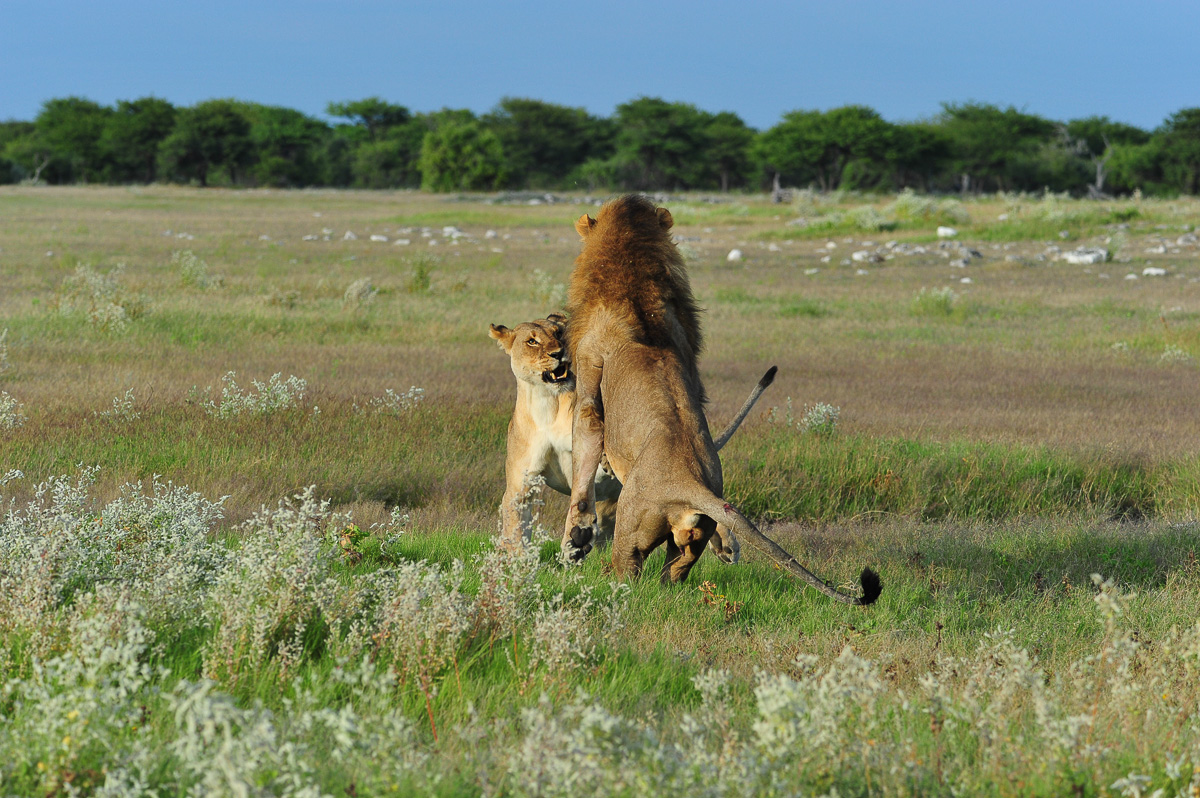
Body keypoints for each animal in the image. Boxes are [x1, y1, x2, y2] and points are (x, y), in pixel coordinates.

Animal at [489, 312, 775, 558]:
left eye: (558, 333)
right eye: (532, 341)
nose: (558, 353)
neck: (548, 405)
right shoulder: (520, 483)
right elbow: (515, 528)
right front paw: (515, 565)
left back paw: (726, 545)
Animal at [561, 194, 880, 605]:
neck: (632, 281)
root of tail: (690, 482)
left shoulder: (589, 370)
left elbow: (583, 456)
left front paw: (574, 539)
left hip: (631, 533)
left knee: (628, 574)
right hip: (689, 542)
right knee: (672, 576)